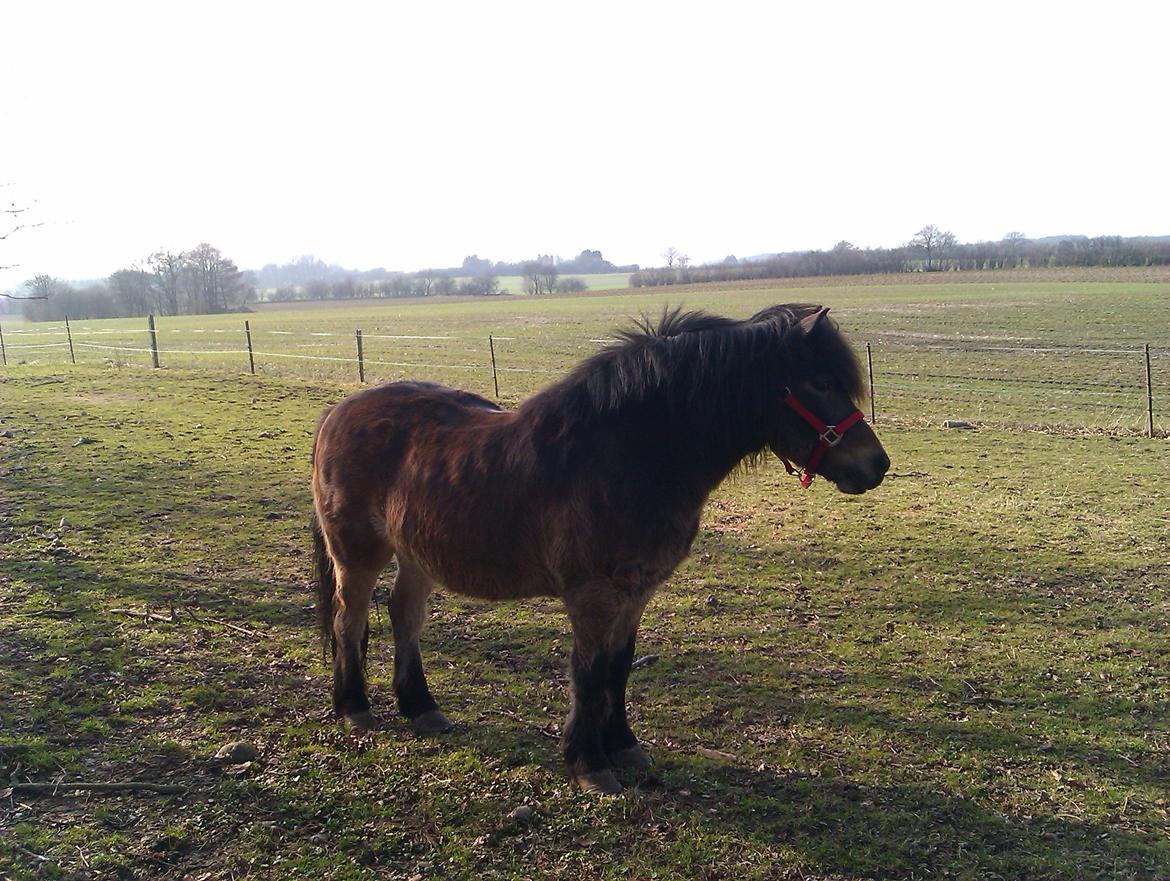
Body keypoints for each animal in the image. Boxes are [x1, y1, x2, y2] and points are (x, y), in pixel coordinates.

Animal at [308, 301, 884, 790]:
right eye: (821, 382)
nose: (877, 465)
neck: (625, 453)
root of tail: (338, 413)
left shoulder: (636, 591)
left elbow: (618, 666)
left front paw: (622, 744)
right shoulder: (592, 594)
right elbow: (588, 672)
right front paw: (589, 761)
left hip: (417, 553)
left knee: (404, 615)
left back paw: (421, 707)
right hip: (357, 553)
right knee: (348, 619)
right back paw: (354, 706)